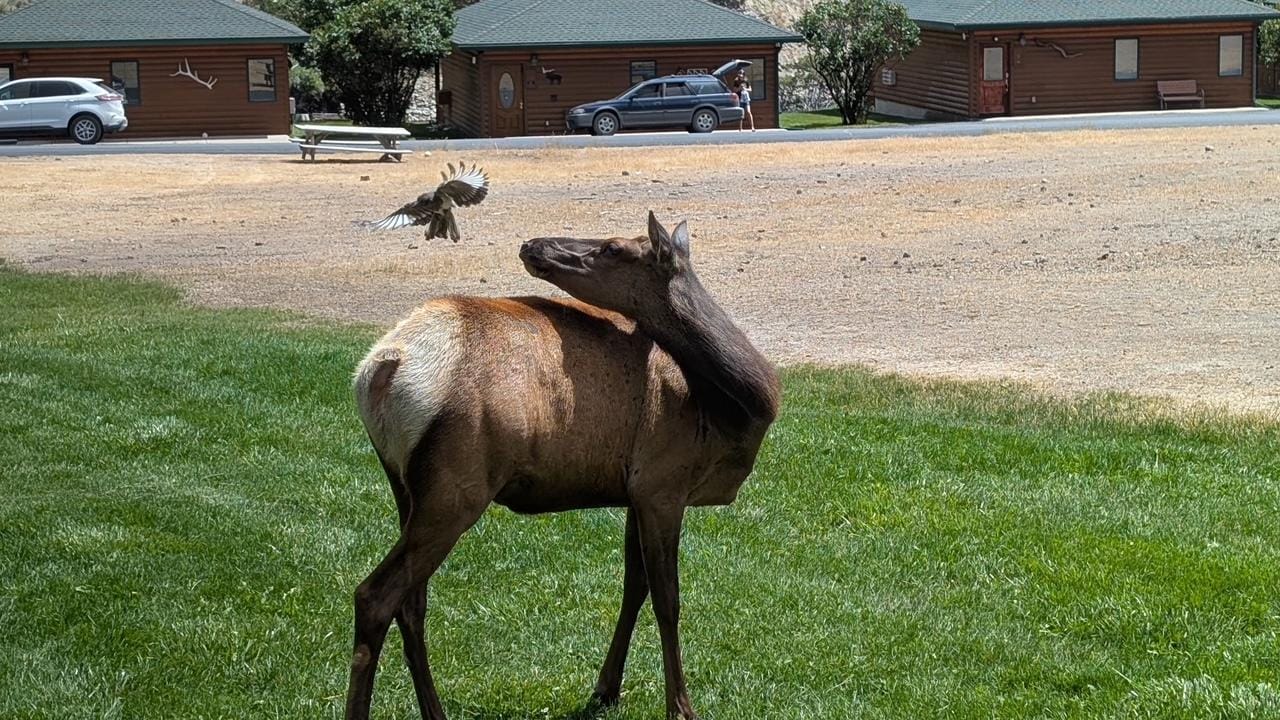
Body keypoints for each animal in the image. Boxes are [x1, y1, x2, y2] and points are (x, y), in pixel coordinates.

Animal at [346, 212, 781, 720]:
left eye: (612, 247)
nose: (532, 243)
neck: (732, 412)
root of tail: (379, 369)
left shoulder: (636, 491)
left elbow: (634, 587)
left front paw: (606, 688)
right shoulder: (663, 482)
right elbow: (668, 599)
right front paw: (680, 707)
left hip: (404, 483)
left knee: (412, 601)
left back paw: (435, 712)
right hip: (456, 485)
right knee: (376, 595)